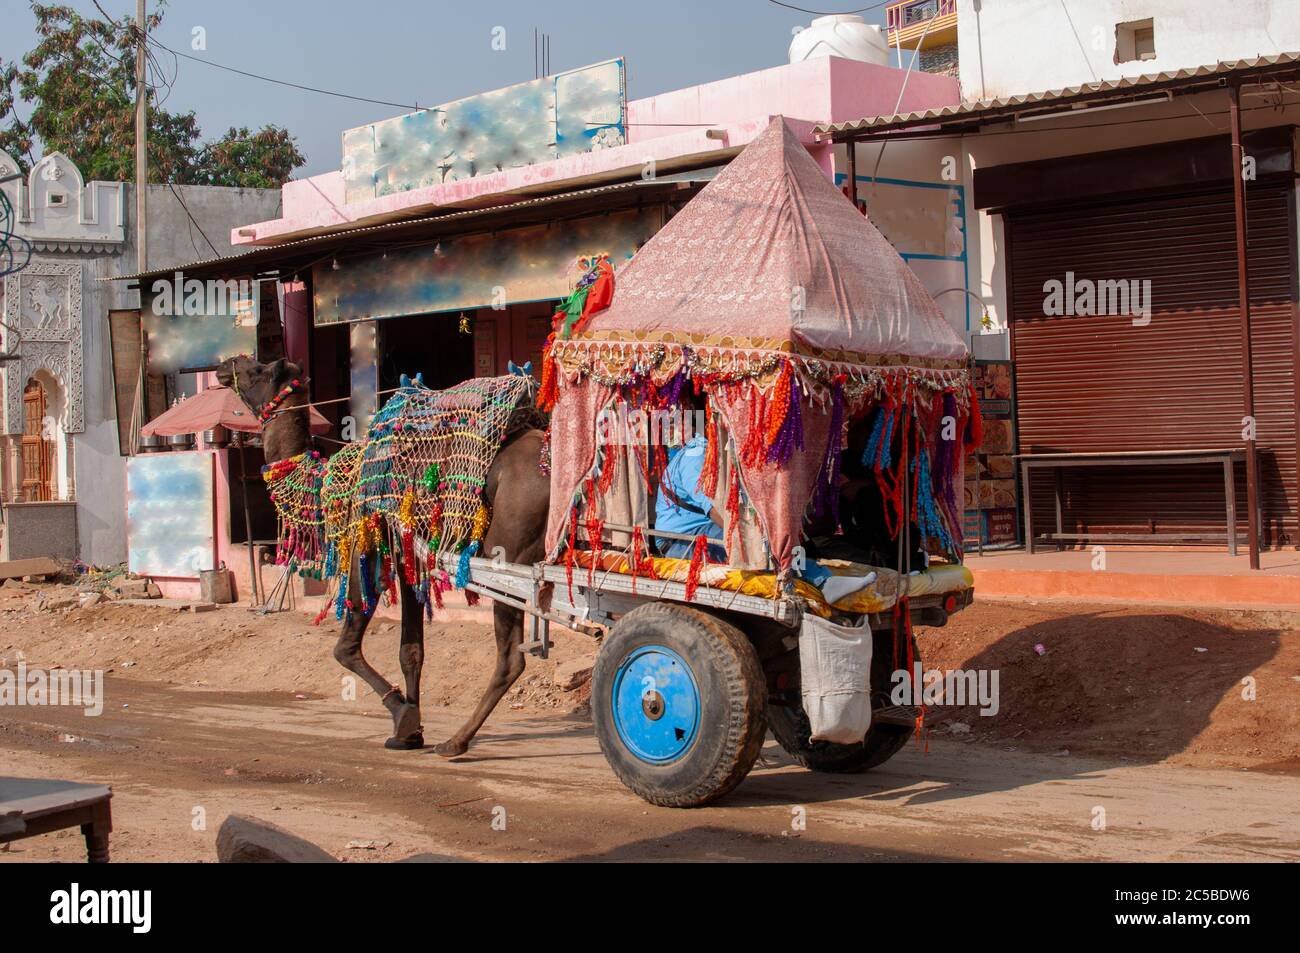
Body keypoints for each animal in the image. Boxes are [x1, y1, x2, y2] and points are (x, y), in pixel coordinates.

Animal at [215, 353, 551, 754]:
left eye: (258, 370)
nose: (227, 364)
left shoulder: (366, 547)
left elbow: (344, 648)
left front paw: (403, 716)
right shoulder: (409, 560)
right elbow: (411, 651)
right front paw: (410, 732)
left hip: (510, 551)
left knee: (511, 657)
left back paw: (456, 742)